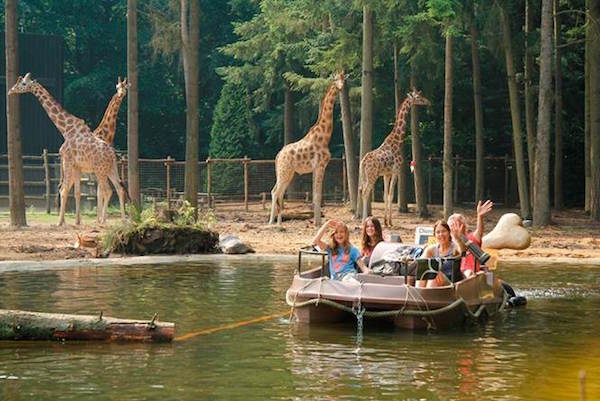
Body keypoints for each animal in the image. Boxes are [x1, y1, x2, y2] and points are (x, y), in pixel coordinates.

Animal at [8, 72, 126, 225]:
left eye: (23, 83)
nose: (11, 90)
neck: (66, 129)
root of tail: (112, 154)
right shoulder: (77, 166)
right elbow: (76, 192)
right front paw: (76, 222)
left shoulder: (68, 161)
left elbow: (66, 191)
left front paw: (60, 222)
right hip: (110, 169)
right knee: (118, 188)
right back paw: (121, 220)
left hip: (100, 170)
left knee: (106, 190)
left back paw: (103, 221)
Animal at [270, 72, 344, 225]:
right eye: (335, 79)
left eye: (344, 78)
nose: (341, 87)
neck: (325, 136)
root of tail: (278, 155)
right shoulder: (320, 166)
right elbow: (317, 195)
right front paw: (318, 223)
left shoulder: (317, 167)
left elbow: (316, 195)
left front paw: (317, 222)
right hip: (285, 171)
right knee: (275, 192)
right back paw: (271, 223)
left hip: (287, 173)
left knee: (278, 192)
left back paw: (277, 222)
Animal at [356, 90, 432, 225]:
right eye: (418, 97)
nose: (428, 102)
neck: (397, 140)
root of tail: (363, 163)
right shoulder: (396, 171)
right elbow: (391, 195)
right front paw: (390, 222)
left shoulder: (387, 174)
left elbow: (385, 195)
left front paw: (386, 221)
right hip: (372, 176)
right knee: (365, 192)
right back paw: (364, 221)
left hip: (365, 175)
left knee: (361, 190)